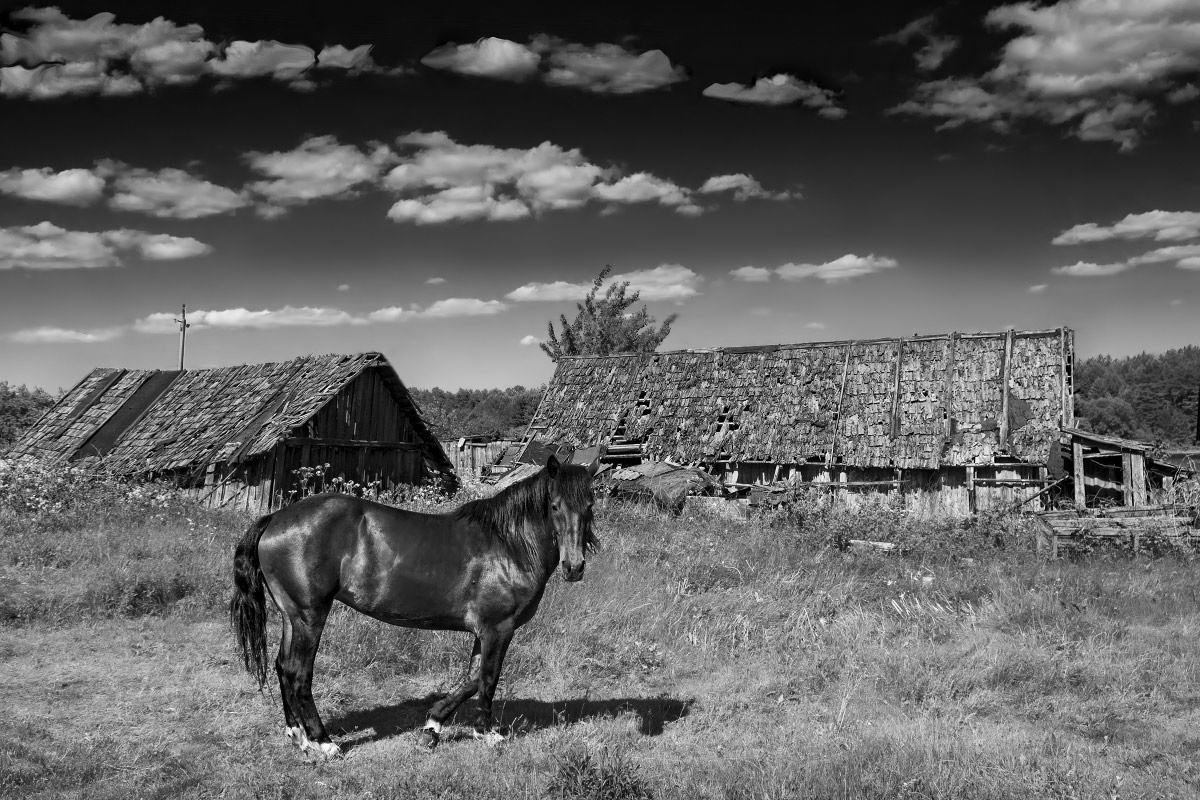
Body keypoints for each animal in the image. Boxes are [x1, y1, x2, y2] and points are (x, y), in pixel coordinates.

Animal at [228, 455, 595, 758]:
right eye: (555, 506)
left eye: (590, 505)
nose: (574, 567)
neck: (508, 545)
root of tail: (276, 518)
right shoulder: (498, 629)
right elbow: (488, 678)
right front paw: (486, 733)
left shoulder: (484, 631)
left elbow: (472, 678)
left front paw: (433, 727)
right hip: (310, 616)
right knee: (298, 672)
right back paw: (323, 742)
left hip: (292, 616)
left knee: (282, 666)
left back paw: (298, 736)